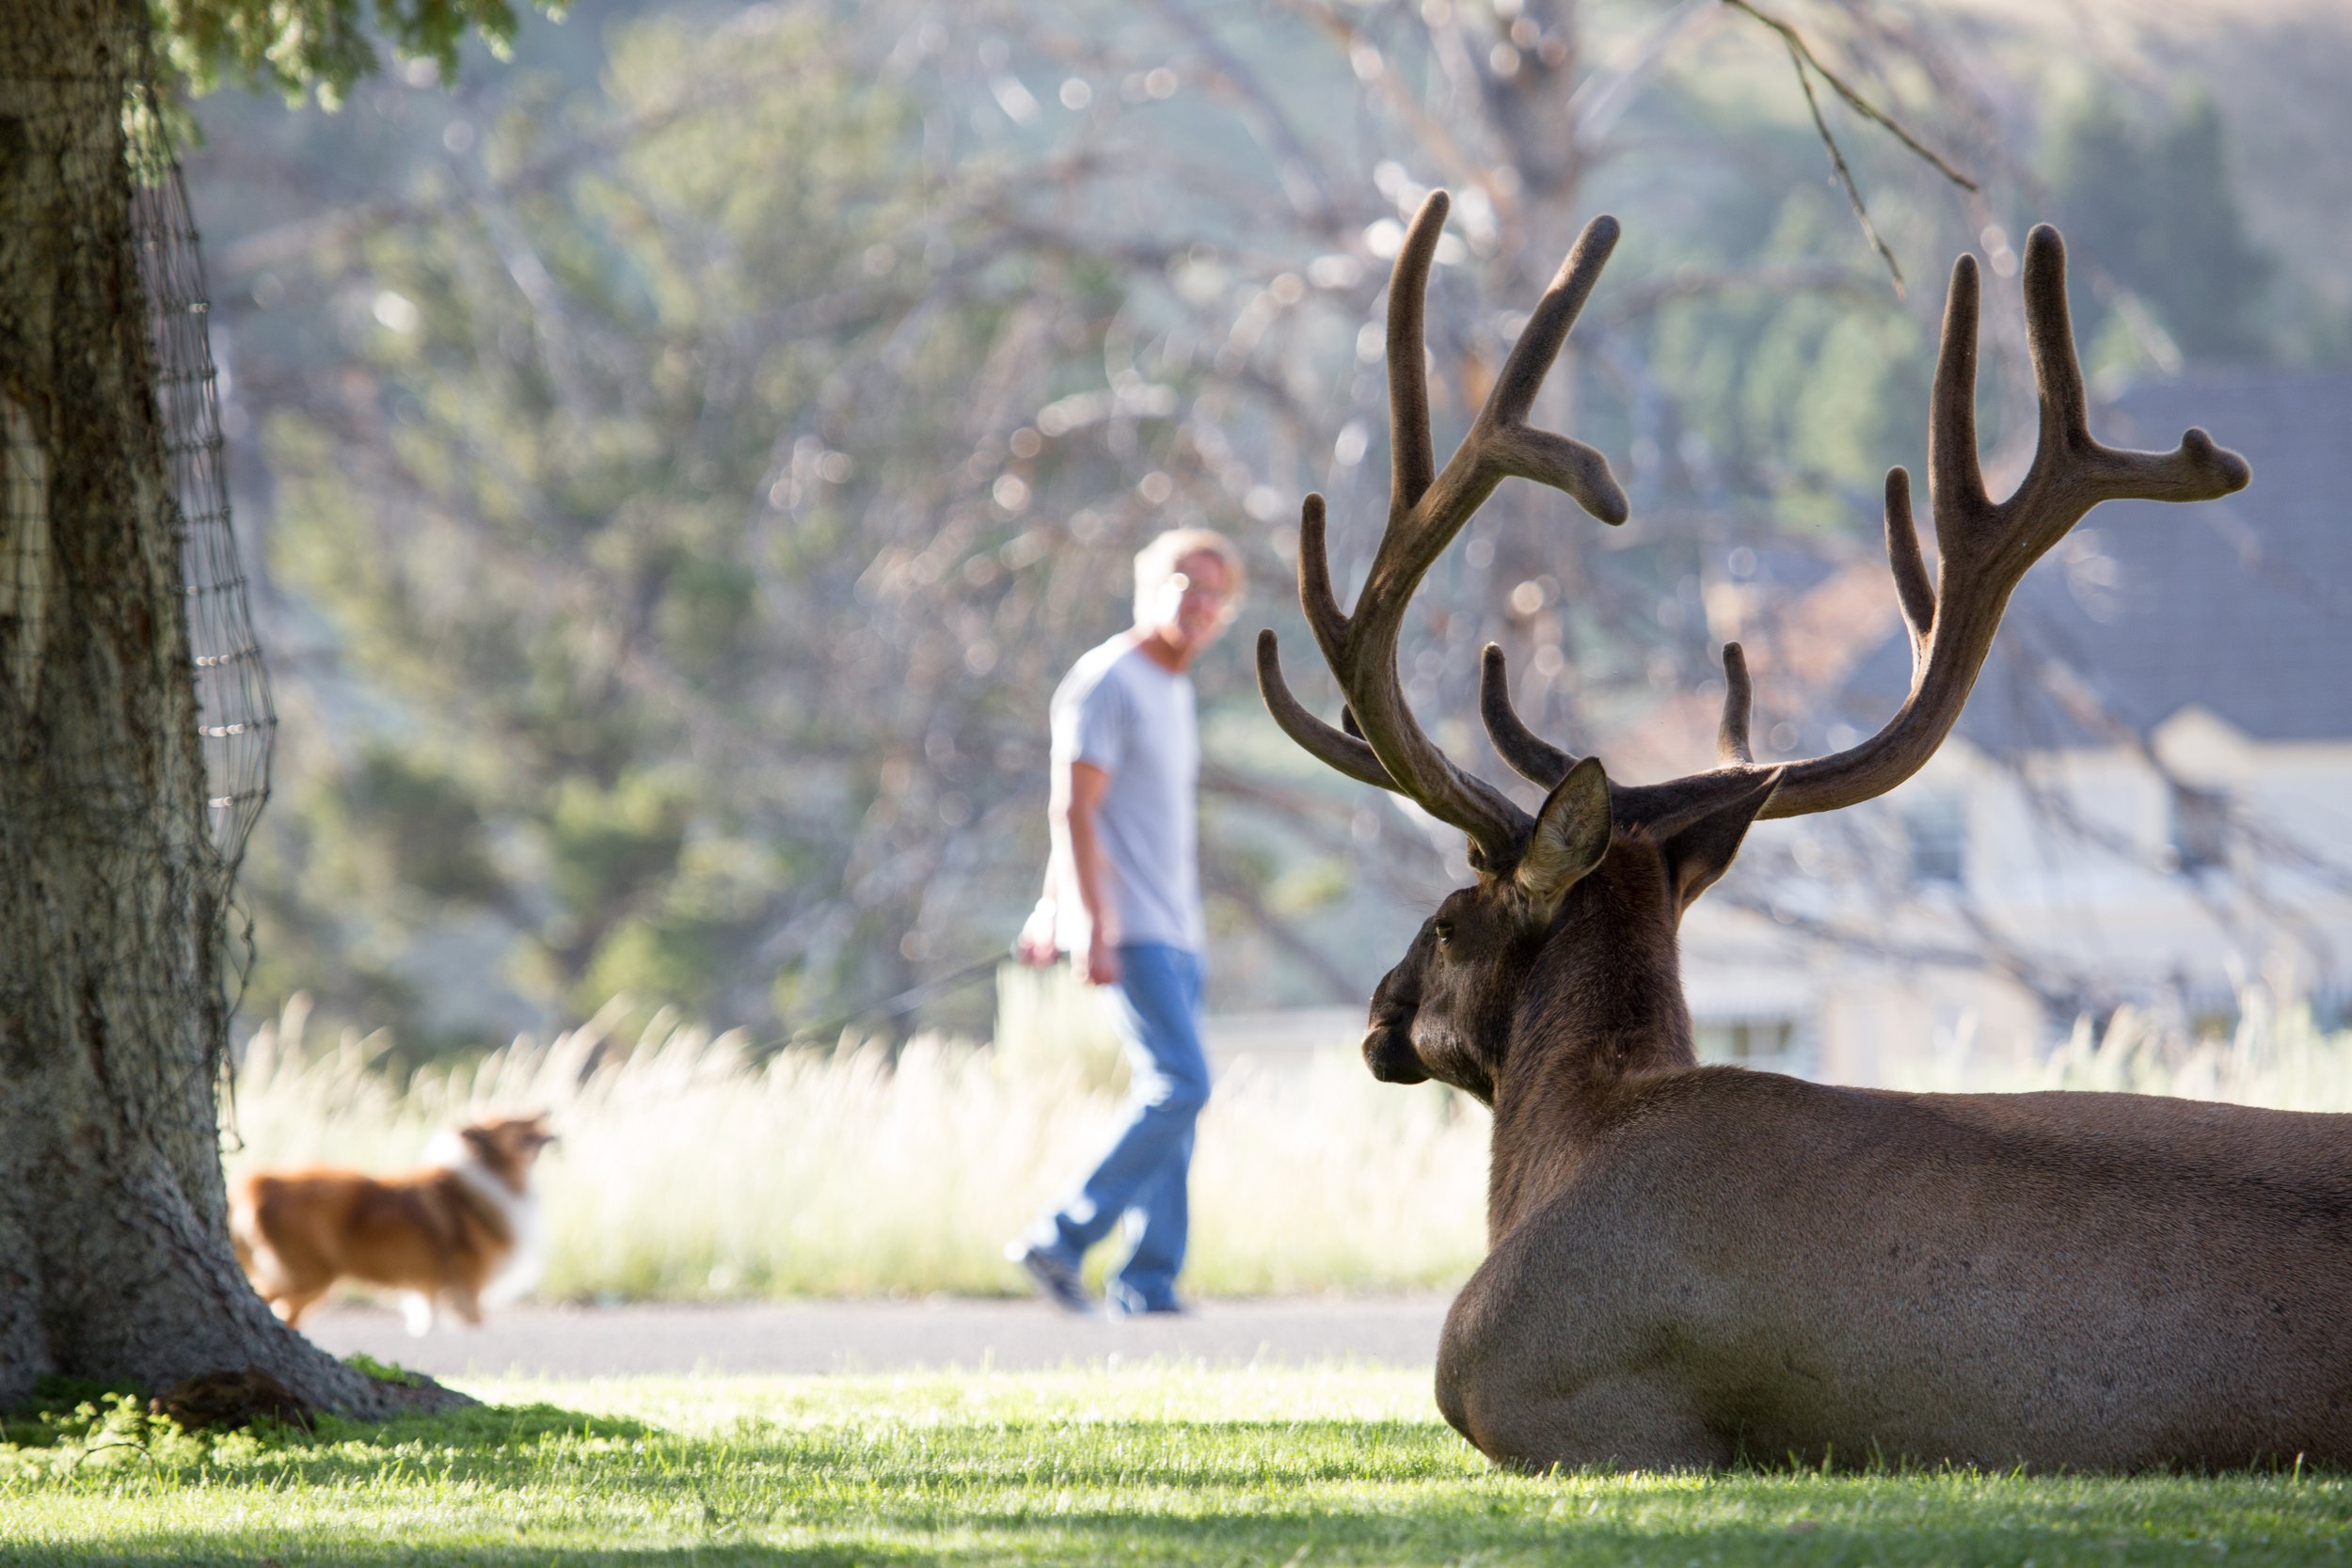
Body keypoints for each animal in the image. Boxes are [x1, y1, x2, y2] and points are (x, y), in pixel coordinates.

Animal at [231, 1114, 557, 1335]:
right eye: (515, 1120)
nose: (547, 1109)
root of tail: (255, 1184)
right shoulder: (467, 1287)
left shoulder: (432, 1289)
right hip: (305, 1277)